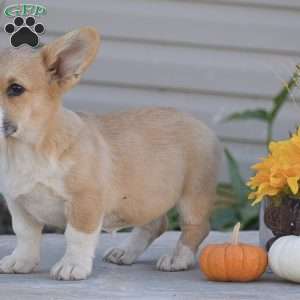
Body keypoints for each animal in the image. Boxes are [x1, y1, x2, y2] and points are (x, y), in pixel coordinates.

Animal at [0, 27, 220, 280]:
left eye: (15, 89)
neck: (24, 150)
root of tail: (199, 122)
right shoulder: (18, 204)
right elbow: (25, 236)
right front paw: (21, 261)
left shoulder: (85, 202)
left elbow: (76, 236)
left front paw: (72, 265)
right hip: (147, 196)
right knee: (154, 224)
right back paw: (126, 251)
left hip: (193, 196)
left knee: (196, 227)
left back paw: (178, 258)